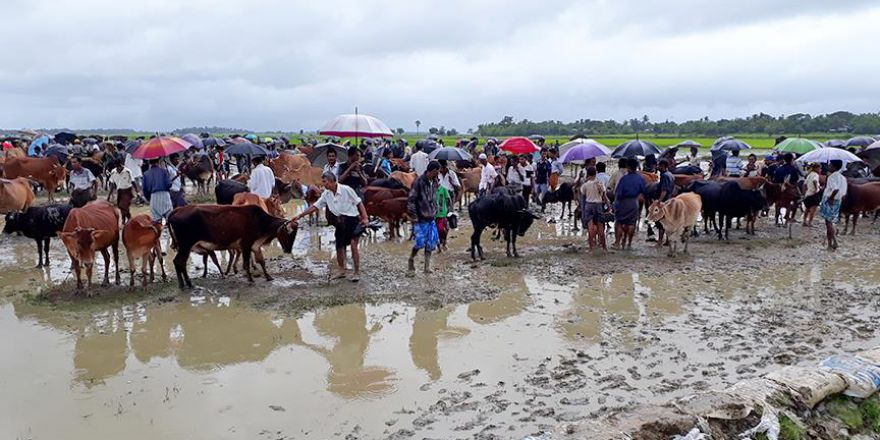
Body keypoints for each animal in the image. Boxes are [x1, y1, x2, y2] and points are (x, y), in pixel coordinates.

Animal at [168, 204, 300, 288]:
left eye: (294, 234)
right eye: (288, 233)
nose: (288, 250)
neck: (260, 221)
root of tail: (176, 210)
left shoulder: (255, 246)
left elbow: (261, 261)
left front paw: (268, 277)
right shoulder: (246, 245)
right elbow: (246, 263)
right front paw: (250, 279)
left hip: (184, 248)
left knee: (180, 263)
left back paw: (184, 284)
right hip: (185, 246)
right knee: (179, 262)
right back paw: (186, 284)